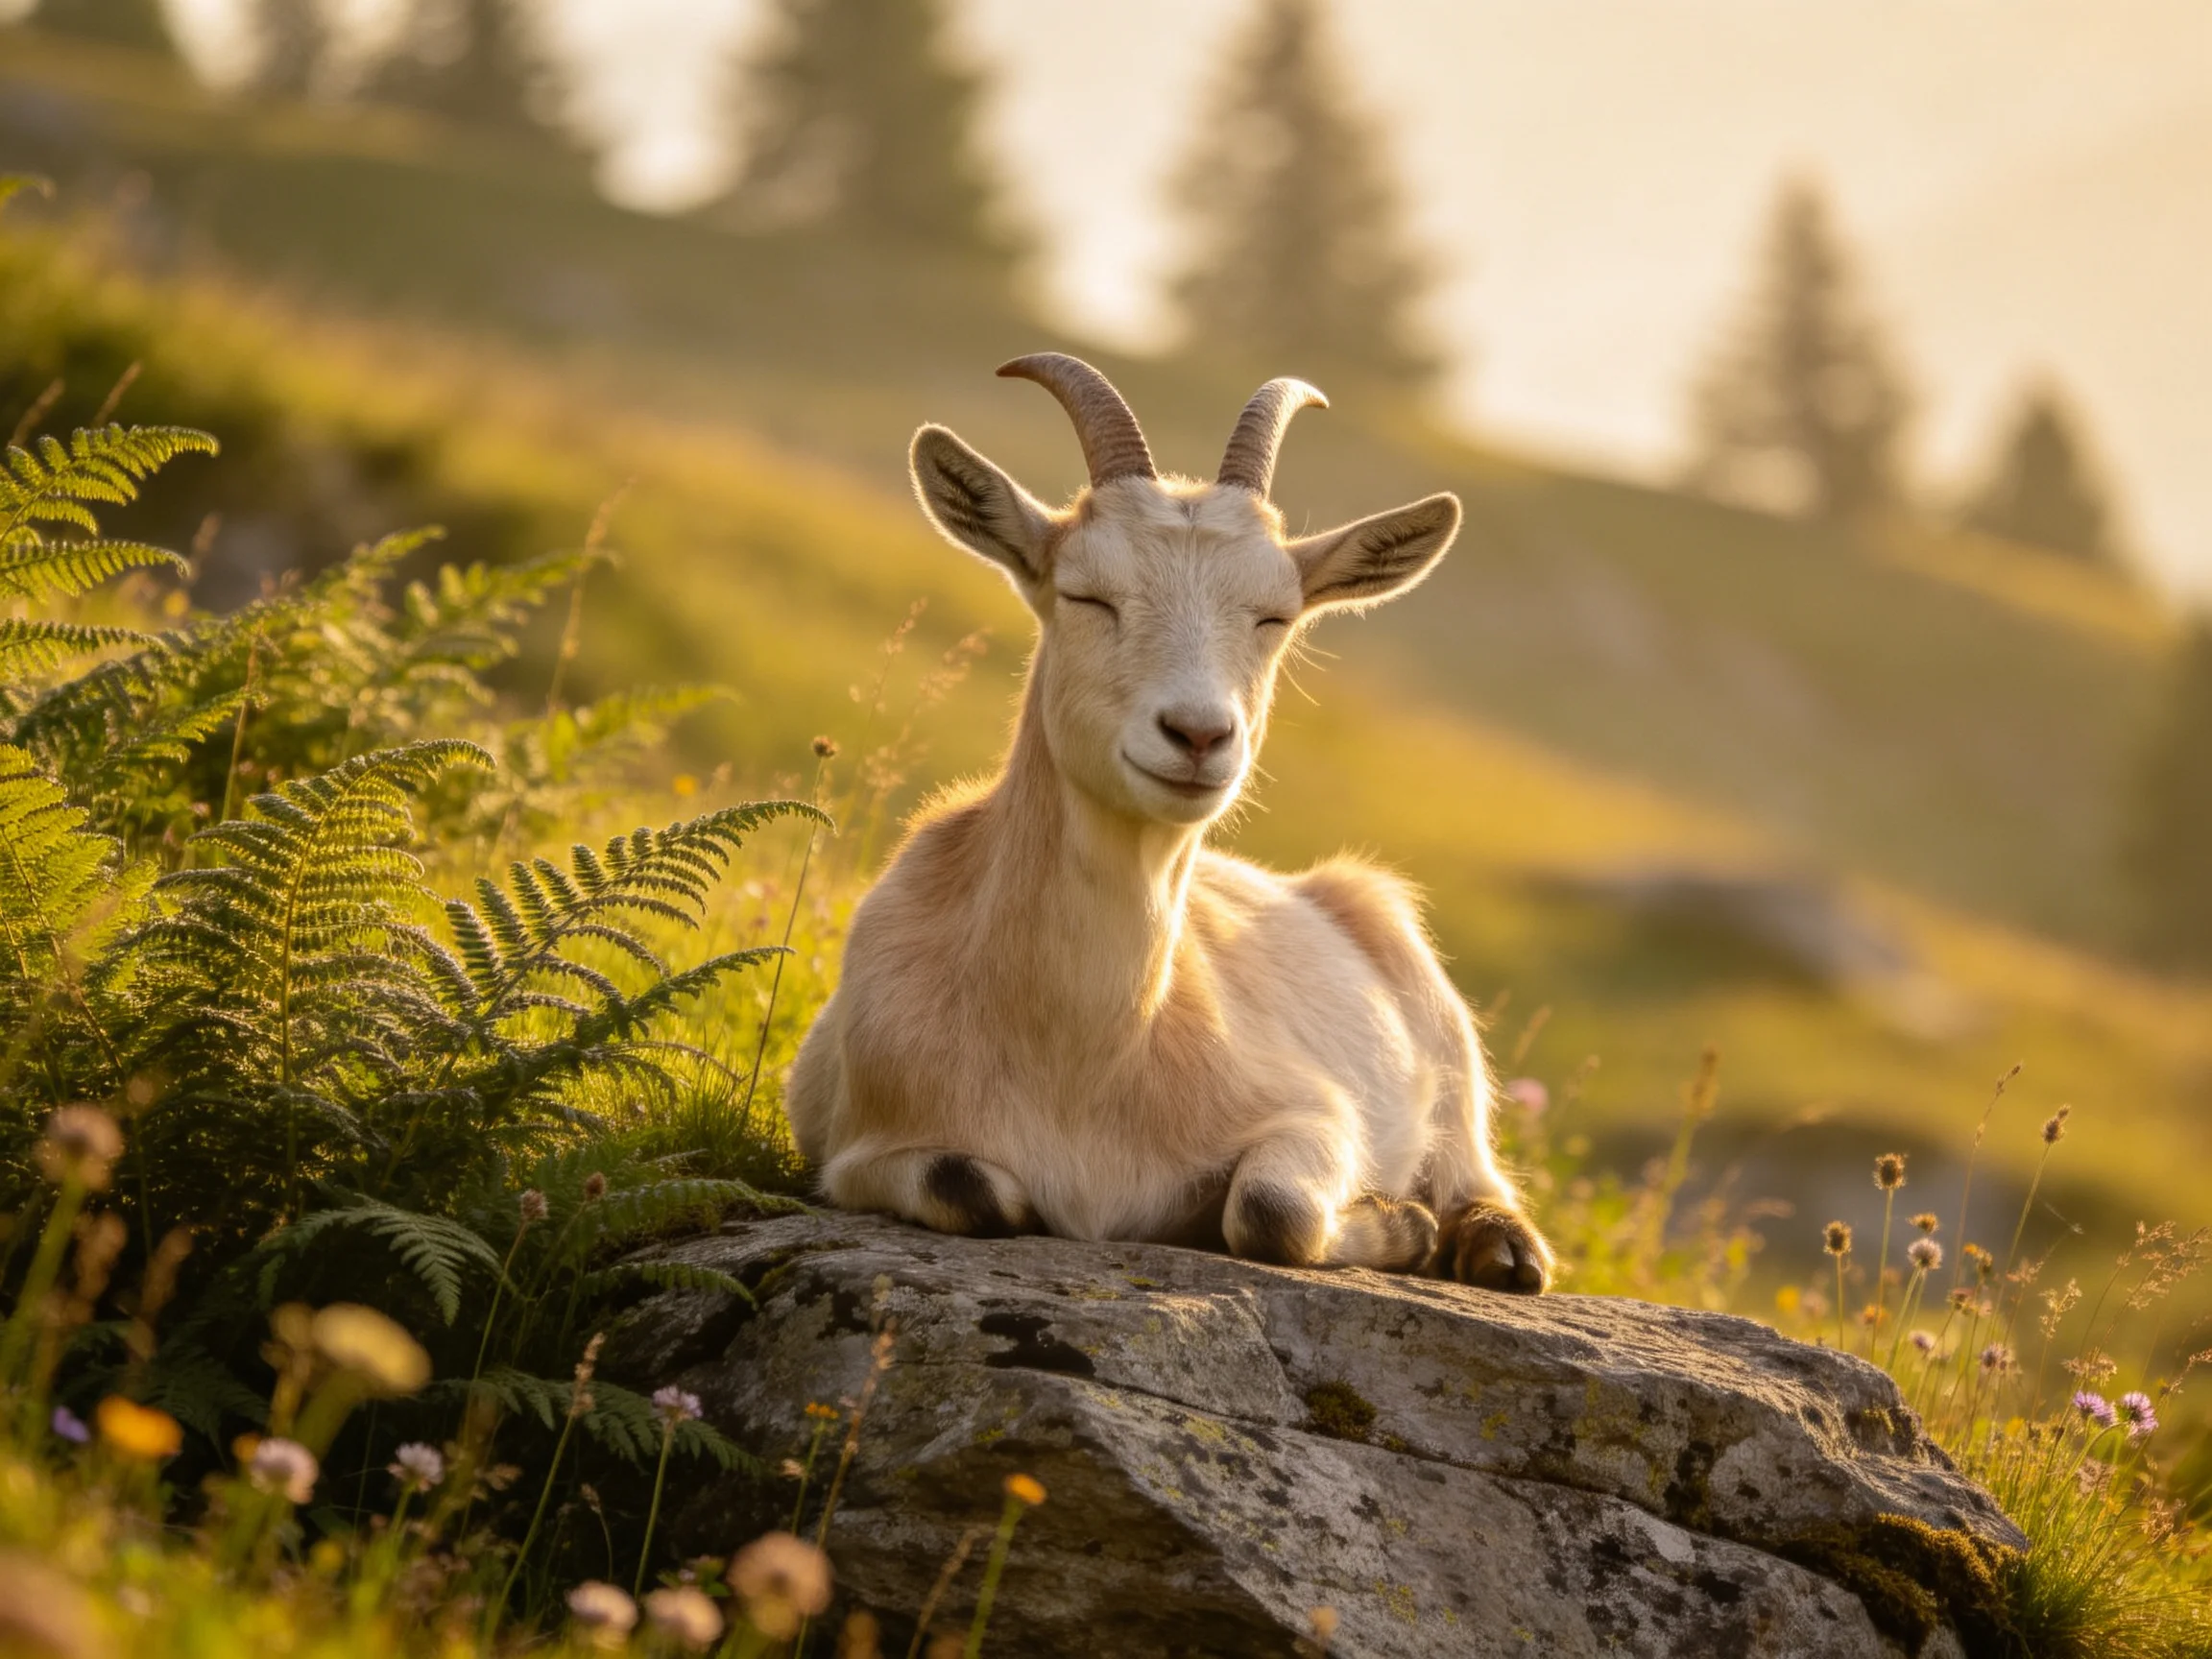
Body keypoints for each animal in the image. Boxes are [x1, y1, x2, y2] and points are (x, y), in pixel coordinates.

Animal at [784, 354, 1550, 1291]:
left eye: (1274, 617)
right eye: (1085, 595)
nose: (1198, 735)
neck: (1082, 1062)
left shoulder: (1314, 1110)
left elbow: (1273, 1208)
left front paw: (1399, 1222)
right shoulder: (856, 1151)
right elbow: (973, 1188)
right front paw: (1399, 1224)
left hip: (1438, 1024)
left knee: (1474, 1166)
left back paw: (1497, 1248)